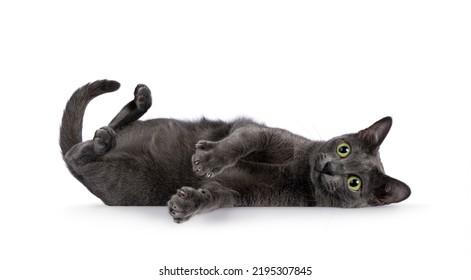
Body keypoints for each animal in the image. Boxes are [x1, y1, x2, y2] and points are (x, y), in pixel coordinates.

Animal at [60, 79, 412, 223]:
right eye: (343, 149)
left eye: (354, 183)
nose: (329, 168)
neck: (300, 174)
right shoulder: (261, 133)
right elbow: (242, 141)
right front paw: (207, 158)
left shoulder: (241, 194)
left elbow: (218, 196)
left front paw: (187, 204)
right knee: (88, 141)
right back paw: (139, 103)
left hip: (129, 181)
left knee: (79, 151)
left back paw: (104, 139)